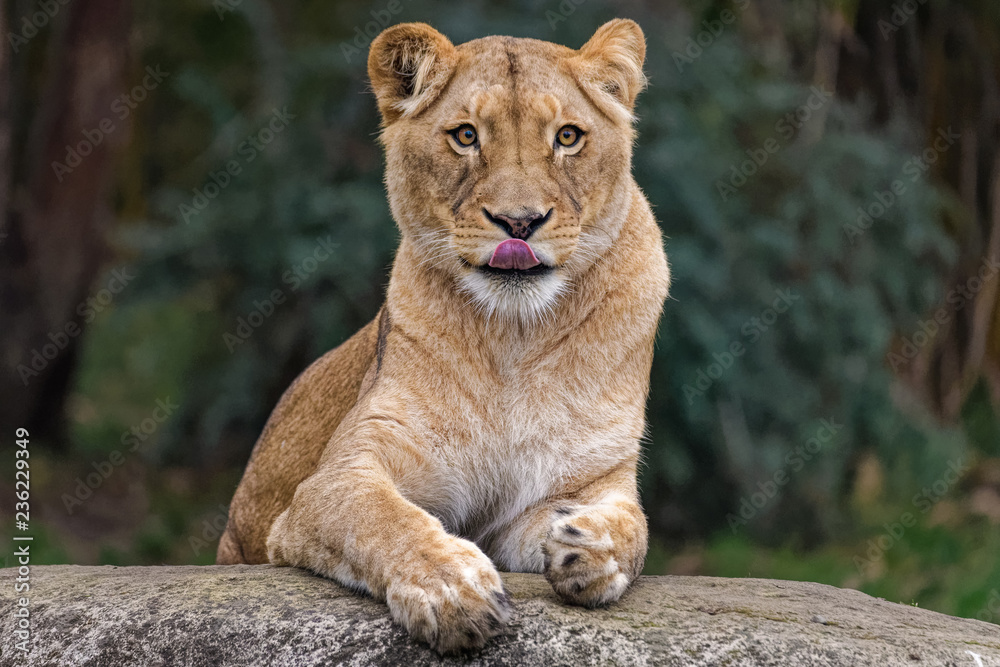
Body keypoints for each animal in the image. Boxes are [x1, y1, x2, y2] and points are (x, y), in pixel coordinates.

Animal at [217, 19, 670, 654]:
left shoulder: (574, 486)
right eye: (465, 136)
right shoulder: (337, 477)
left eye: (568, 137)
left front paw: (592, 548)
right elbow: (382, 516)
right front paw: (451, 589)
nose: (519, 222)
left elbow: (636, 525)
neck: (514, 338)